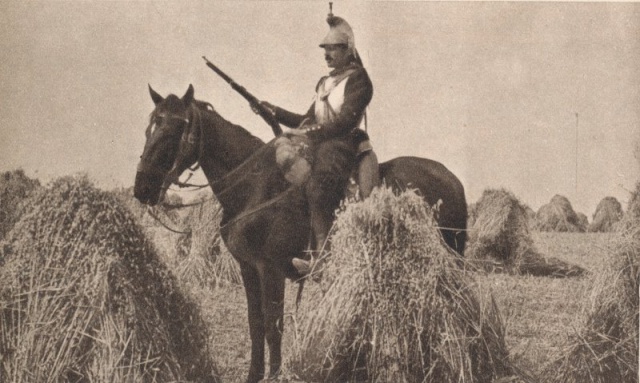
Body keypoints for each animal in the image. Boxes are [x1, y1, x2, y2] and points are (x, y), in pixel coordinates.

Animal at [134, 85, 464, 383]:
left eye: (173, 129)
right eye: (149, 127)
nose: (142, 188)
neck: (253, 188)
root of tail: (453, 179)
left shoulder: (271, 269)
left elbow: (273, 325)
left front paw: (275, 374)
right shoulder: (248, 268)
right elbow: (255, 324)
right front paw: (255, 375)